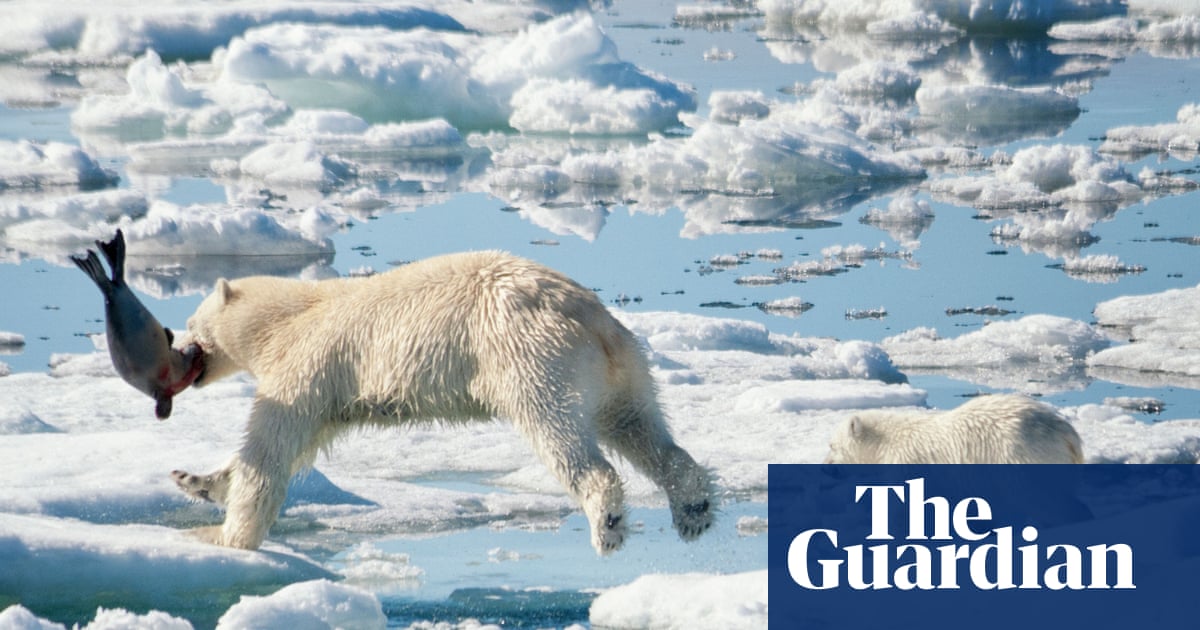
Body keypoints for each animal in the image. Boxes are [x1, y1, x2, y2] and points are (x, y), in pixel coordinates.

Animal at [168, 251, 714, 555]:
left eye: (190, 323)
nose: (175, 343)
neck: (291, 315)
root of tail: (591, 318)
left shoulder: (306, 366)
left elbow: (271, 448)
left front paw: (229, 538)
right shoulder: (332, 390)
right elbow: (297, 444)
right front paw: (195, 480)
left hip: (532, 357)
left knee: (562, 435)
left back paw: (608, 524)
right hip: (625, 369)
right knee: (639, 427)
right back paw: (694, 509)